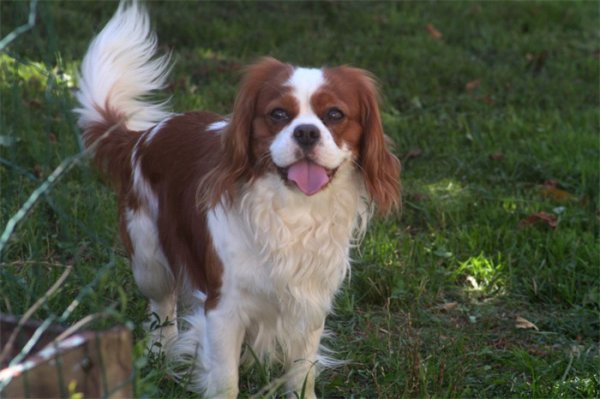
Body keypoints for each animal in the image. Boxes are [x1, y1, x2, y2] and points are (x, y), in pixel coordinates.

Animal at [76, 1, 398, 398]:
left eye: (335, 115)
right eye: (278, 114)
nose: (307, 132)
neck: (292, 210)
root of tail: (143, 135)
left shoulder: (310, 302)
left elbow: (301, 372)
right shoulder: (223, 307)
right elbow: (226, 379)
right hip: (149, 258)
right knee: (162, 307)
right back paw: (159, 355)